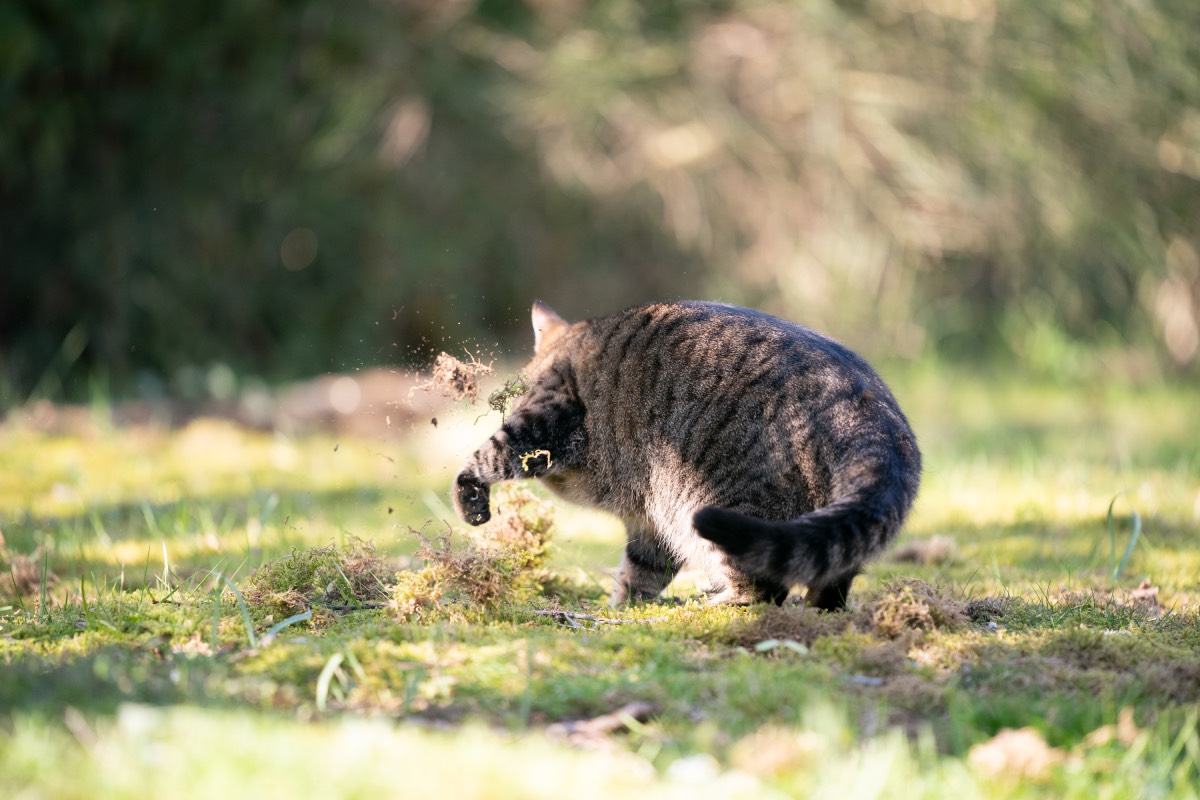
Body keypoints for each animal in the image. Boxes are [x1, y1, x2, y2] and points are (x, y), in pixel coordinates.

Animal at [453, 303, 921, 609]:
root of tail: (871, 408)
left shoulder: (545, 416)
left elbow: (489, 454)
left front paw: (470, 497)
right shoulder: (649, 522)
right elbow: (641, 570)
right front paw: (622, 607)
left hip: (715, 505)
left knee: (764, 589)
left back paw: (715, 603)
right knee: (831, 578)